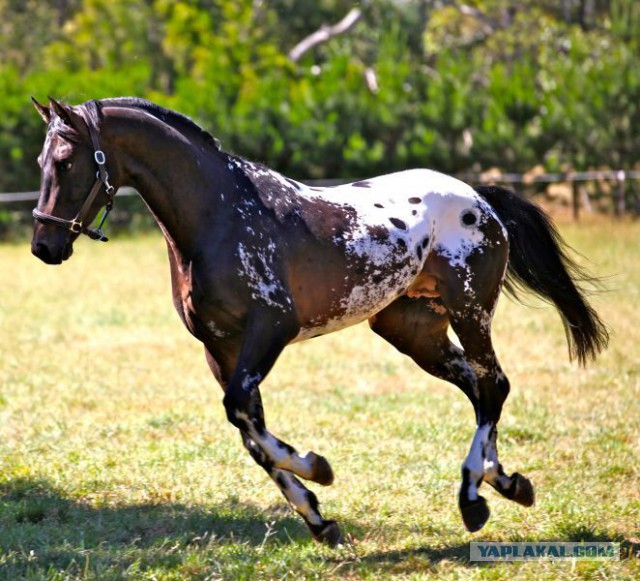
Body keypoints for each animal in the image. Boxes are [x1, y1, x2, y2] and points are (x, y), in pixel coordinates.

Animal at [31, 97, 608, 548]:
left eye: (65, 159)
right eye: (42, 159)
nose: (44, 246)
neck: (219, 217)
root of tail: (479, 198)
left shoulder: (270, 330)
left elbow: (242, 414)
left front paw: (317, 470)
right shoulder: (219, 349)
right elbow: (249, 430)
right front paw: (318, 517)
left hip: (470, 312)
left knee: (494, 384)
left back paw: (472, 497)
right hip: (412, 331)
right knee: (480, 388)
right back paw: (505, 484)